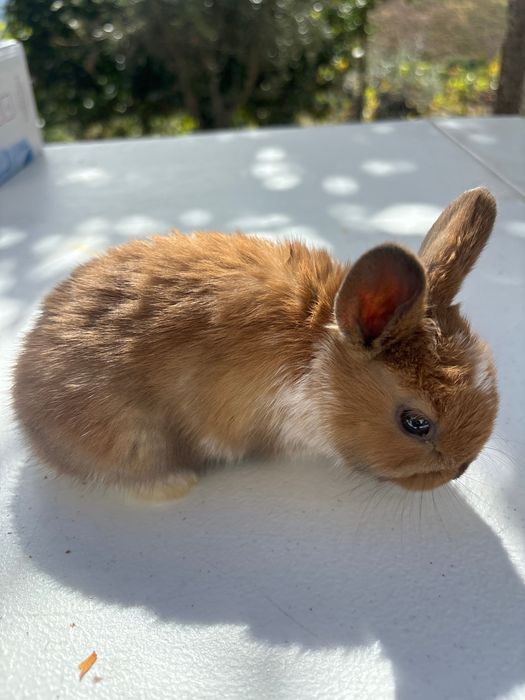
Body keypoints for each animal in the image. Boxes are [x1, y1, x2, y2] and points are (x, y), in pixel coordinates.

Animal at [13, 187, 498, 498]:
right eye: (416, 423)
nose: (460, 469)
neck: (317, 353)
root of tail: (24, 409)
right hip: (135, 438)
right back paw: (175, 484)